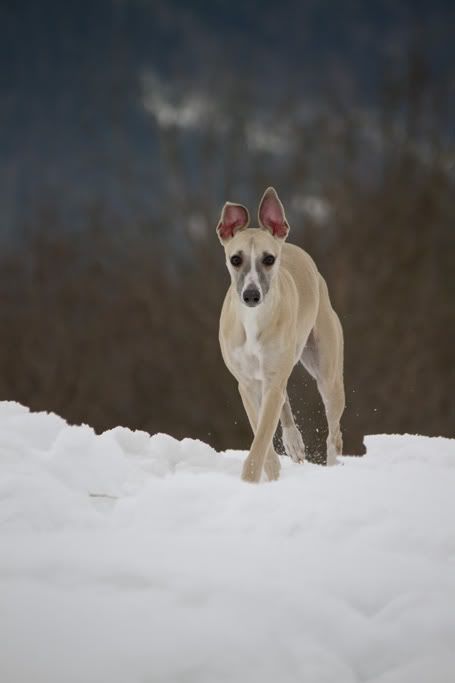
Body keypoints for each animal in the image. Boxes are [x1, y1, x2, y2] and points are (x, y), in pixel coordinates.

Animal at [217, 184, 346, 478]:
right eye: (235, 258)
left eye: (269, 258)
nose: (251, 295)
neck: (253, 321)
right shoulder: (247, 384)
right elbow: (261, 439)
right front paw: (270, 472)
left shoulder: (272, 380)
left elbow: (261, 440)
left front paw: (251, 479)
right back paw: (293, 442)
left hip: (328, 373)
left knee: (334, 434)